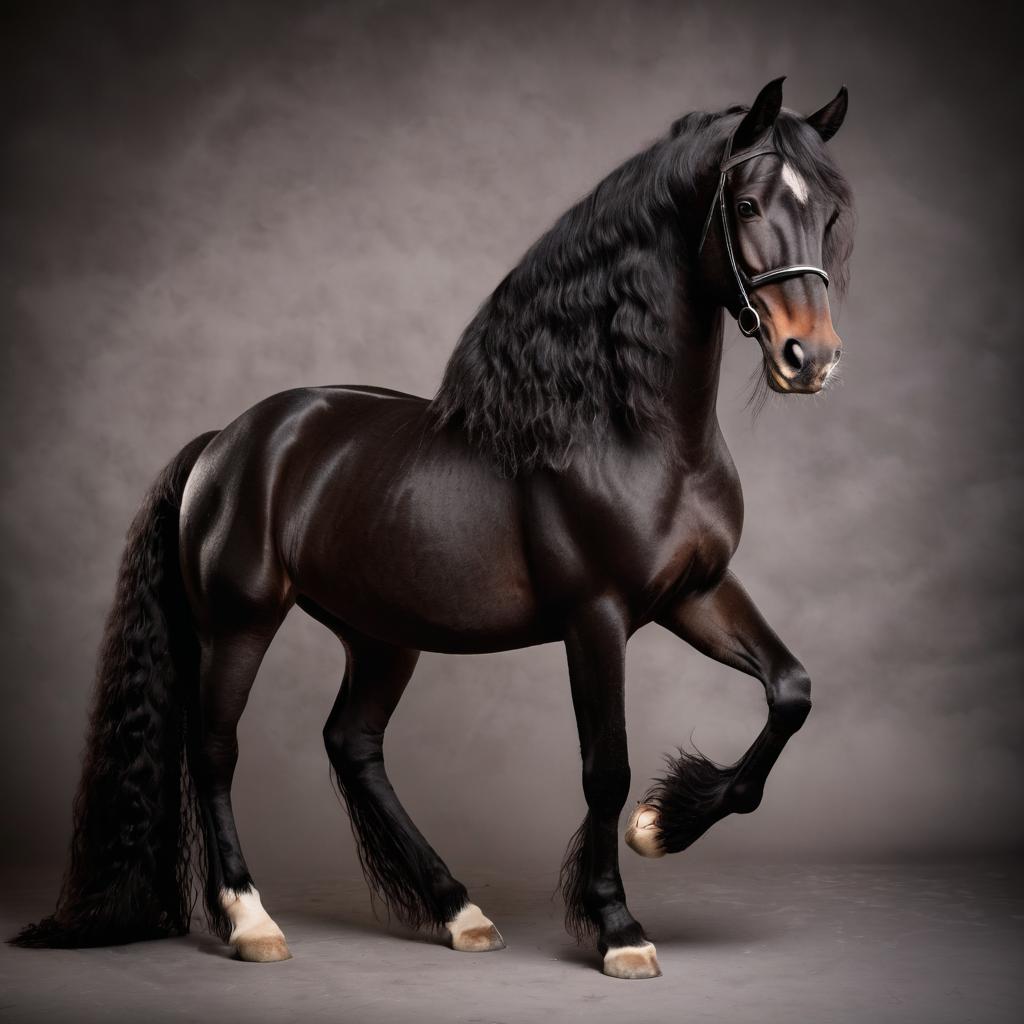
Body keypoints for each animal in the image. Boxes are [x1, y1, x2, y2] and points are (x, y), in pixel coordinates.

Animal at [12, 75, 851, 978]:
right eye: (747, 201)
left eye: (830, 212)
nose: (811, 358)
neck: (626, 428)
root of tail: (227, 441)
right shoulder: (596, 619)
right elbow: (605, 767)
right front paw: (619, 927)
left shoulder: (696, 594)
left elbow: (791, 692)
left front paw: (663, 826)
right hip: (239, 624)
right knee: (214, 750)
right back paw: (251, 921)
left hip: (382, 635)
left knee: (352, 744)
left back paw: (458, 910)